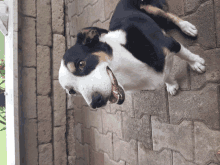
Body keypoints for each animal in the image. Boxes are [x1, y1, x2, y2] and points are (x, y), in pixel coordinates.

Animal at [58, 0, 206, 109]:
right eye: (71, 91)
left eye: (81, 64)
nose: (96, 102)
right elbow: (166, 76)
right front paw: (170, 84)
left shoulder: (170, 43)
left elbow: (186, 55)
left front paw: (196, 64)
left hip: (149, 8)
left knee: (169, 15)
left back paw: (187, 27)